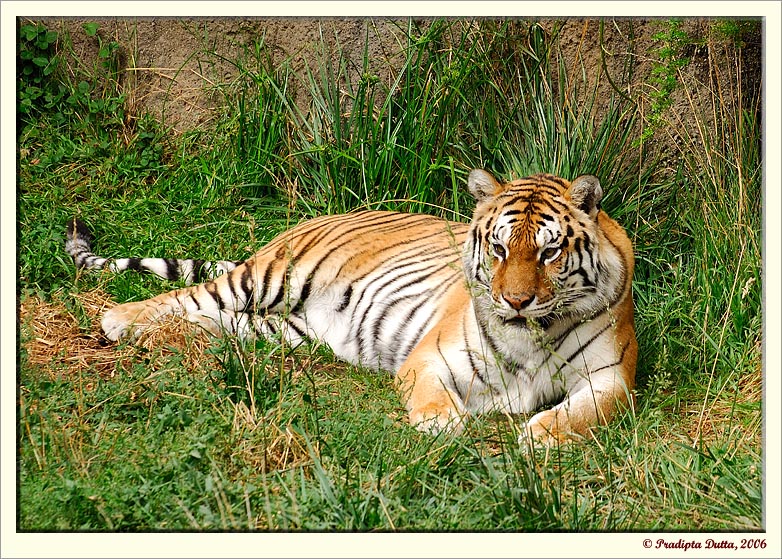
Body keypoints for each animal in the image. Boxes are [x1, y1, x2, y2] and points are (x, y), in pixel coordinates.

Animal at [67, 171, 640, 446]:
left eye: (548, 252)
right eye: (499, 249)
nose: (516, 301)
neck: (531, 333)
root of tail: (313, 219)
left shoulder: (611, 378)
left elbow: (585, 411)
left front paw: (540, 434)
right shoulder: (430, 358)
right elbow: (436, 399)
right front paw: (444, 426)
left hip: (281, 328)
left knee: (208, 318)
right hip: (269, 278)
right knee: (185, 296)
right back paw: (118, 319)